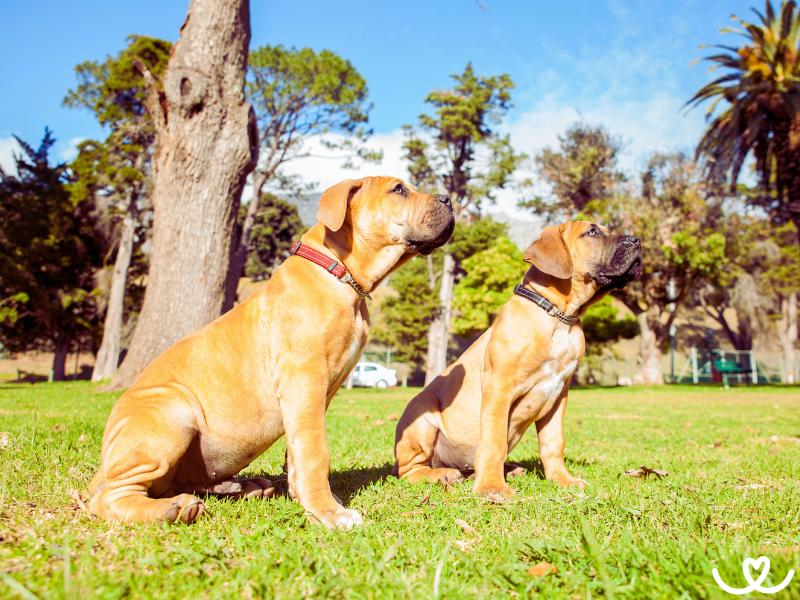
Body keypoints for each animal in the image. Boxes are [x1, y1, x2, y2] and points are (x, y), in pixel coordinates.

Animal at [87, 176, 454, 528]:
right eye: (398, 190)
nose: (449, 199)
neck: (336, 271)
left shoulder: (315, 394)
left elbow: (299, 450)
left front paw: (309, 499)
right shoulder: (304, 381)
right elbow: (314, 450)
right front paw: (328, 513)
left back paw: (240, 487)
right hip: (172, 411)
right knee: (109, 496)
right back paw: (173, 508)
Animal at [394, 221, 644, 502]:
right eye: (592, 232)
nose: (637, 241)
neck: (558, 316)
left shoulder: (559, 395)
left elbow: (553, 442)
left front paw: (563, 479)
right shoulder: (499, 388)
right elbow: (494, 442)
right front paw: (492, 487)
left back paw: (509, 469)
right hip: (421, 419)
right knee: (409, 470)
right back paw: (442, 474)